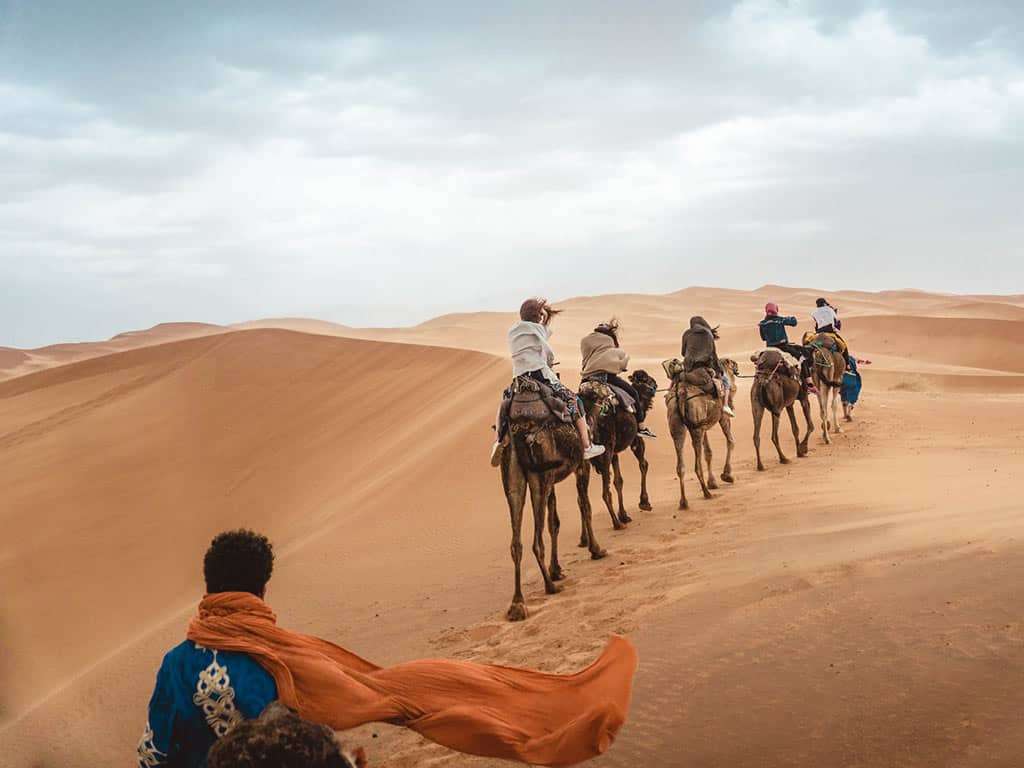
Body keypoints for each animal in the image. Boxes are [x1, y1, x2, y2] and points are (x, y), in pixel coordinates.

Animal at [499, 382, 602, 622]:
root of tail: (519, 430)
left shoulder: (553, 480)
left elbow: (553, 522)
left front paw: (556, 570)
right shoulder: (581, 466)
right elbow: (585, 506)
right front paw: (596, 549)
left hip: (514, 475)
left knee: (516, 542)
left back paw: (517, 604)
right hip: (540, 476)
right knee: (536, 540)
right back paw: (549, 587)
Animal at [577, 368, 655, 536]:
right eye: (645, 379)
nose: (654, 384)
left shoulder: (614, 453)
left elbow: (618, 480)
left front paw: (624, 514)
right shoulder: (635, 439)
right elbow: (644, 464)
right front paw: (644, 502)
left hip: (584, 461)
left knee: (582, 499)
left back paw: (584, 537)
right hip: (605, 450)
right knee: (604, 493)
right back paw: (616, 524)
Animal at [663, 360, 737, 512]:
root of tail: (682, 392)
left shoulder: (704, 426)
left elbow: (708, 452)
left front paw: (713, 482)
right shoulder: (722, 417)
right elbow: (730, 441)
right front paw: (727, 475)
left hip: (678, 424)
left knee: (681, 464)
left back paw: (684, 502)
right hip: (696, 427)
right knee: (697, 464)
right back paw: (706, 493)